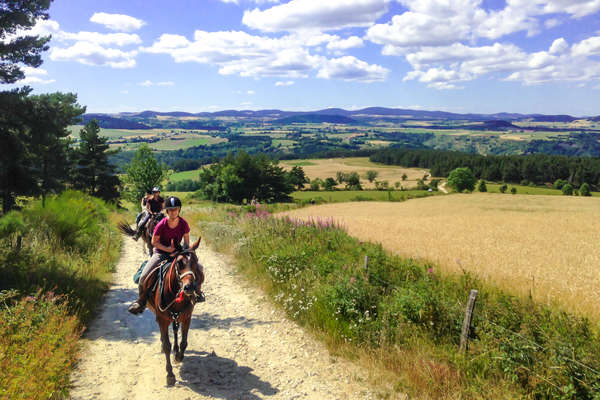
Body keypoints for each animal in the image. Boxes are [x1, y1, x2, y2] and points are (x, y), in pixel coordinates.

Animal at [144, 236, 205, 386]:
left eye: (196, 262)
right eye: (179, 263)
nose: (189, 287)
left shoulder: (186, 317)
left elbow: (184, 341)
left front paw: (179, 356)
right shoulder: (162, 320)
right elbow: (167, 345)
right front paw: (170, 375)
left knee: (176, 331)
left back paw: (176, 351)